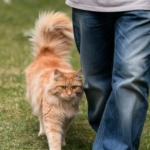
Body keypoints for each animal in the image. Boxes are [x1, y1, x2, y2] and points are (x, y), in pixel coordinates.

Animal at [24, 11, 83, 150]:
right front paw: (57, 145)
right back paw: (41, 133)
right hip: (38, 104)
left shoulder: (67, 119)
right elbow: (54, 138)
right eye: (62, 87)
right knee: (40, 119)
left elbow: (63, 133)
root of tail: (47, 51)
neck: (64, 105)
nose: (69, 94)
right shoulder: (52, 119)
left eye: (73, 87)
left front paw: (63, 142)